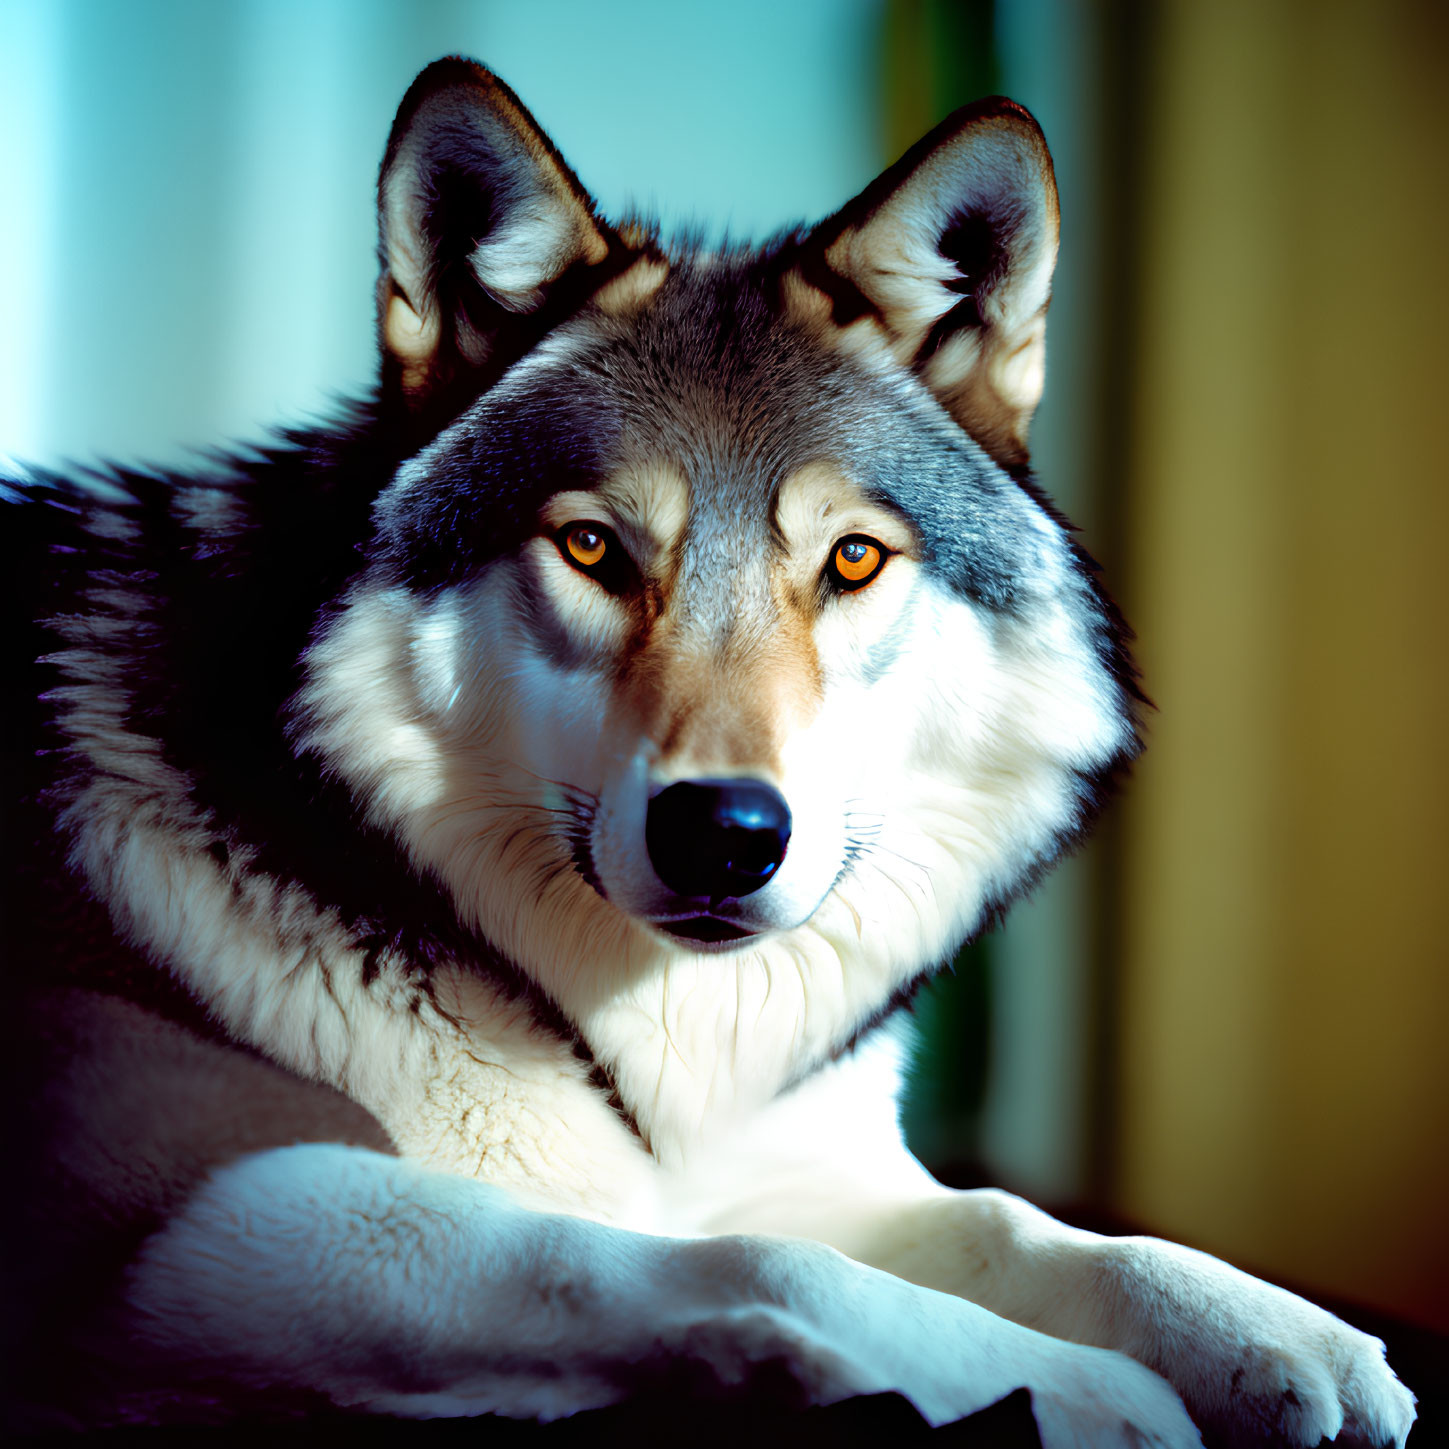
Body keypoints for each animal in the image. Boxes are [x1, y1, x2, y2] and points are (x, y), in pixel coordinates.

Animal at [5, 59, 1414, 1449]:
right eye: (592, 549)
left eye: (853, 559)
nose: (723, 836)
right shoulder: (201, 1207)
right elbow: (745, 1265)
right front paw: (1075, 1391)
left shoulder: (801, 1165)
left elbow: (1017, 1222)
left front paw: (1266, 1328)